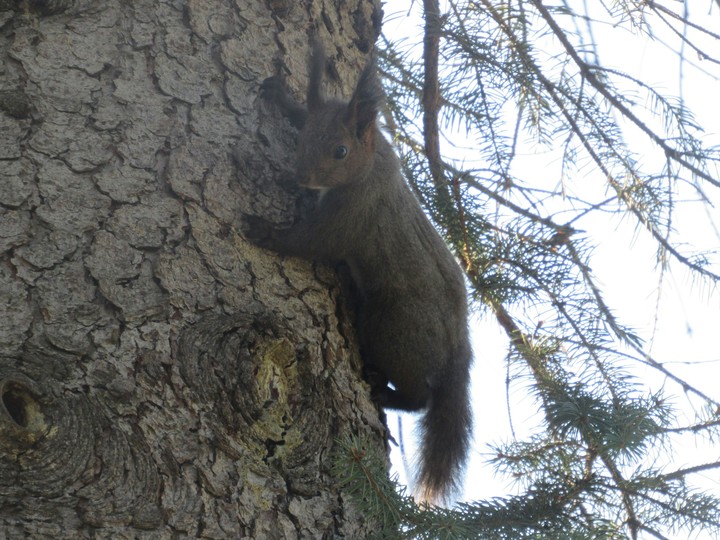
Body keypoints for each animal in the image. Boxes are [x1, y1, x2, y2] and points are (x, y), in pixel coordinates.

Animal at [246, 43, 473, 504]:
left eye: (340, 151)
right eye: (305, 134)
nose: (301, 177)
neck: (370, 166)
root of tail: (459, 342)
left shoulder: (351, 219)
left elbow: (310, 243)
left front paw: (263, 231)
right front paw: (285, 98)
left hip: (392, 328)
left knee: (421, 396)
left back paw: (383, 390)